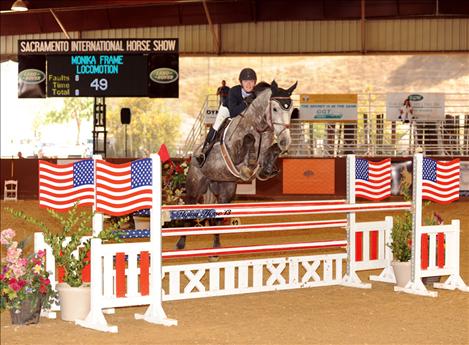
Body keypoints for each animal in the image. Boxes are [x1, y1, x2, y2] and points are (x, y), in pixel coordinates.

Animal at [176, 79, 296, 249]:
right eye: (274, 108)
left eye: (291, 110)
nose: (286, 141)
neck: (258, 127)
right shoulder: (234, 154)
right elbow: (248, 139)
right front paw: (248, 165)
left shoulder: (265, 151)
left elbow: (273, 149)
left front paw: (267, 170)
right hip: (195, 186)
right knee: (188, 209)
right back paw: (181, 243)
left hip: (225, 189)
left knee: (217, 218)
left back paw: (216, 247)